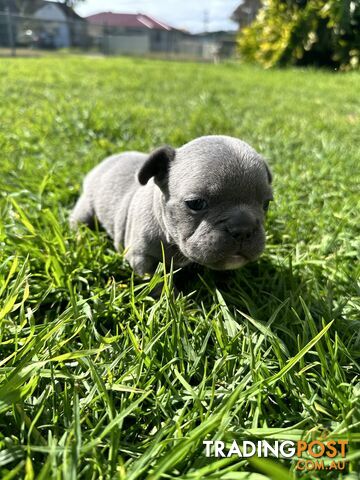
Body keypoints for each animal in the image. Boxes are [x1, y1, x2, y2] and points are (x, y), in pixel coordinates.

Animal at [69, 137, 272, 276]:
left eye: (266, 204)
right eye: (196, 203)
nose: (243, 228)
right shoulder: (141, 258)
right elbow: (156, 285)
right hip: (86, 209)